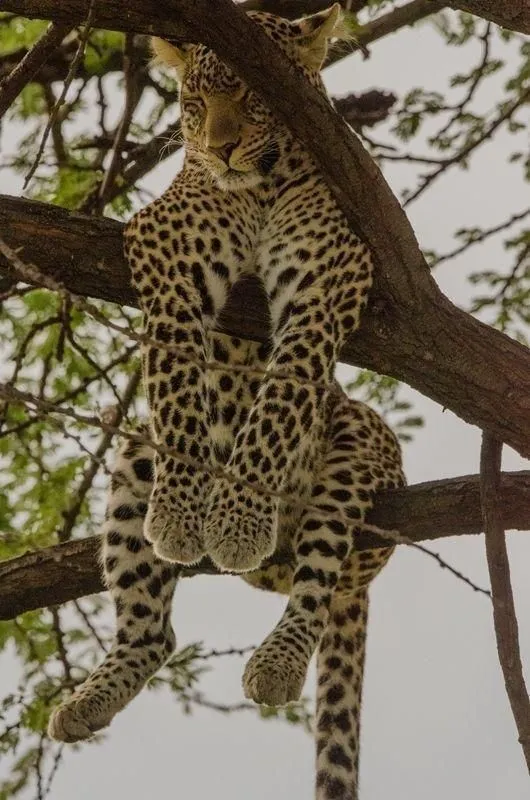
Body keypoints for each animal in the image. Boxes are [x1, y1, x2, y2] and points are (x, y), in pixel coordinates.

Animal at [48, 7, 406, 798]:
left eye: (250, 94)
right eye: (193, 101)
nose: (220, 147)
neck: (262, 186)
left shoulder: (327, 285)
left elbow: (282, 395)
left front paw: (237, 518)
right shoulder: (163, 245)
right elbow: (179, 370)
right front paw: (186, 517)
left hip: (360, 457)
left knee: (314, 584)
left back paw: (274, 661)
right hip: (134, 459)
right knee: (154, 633)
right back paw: (89, 699)